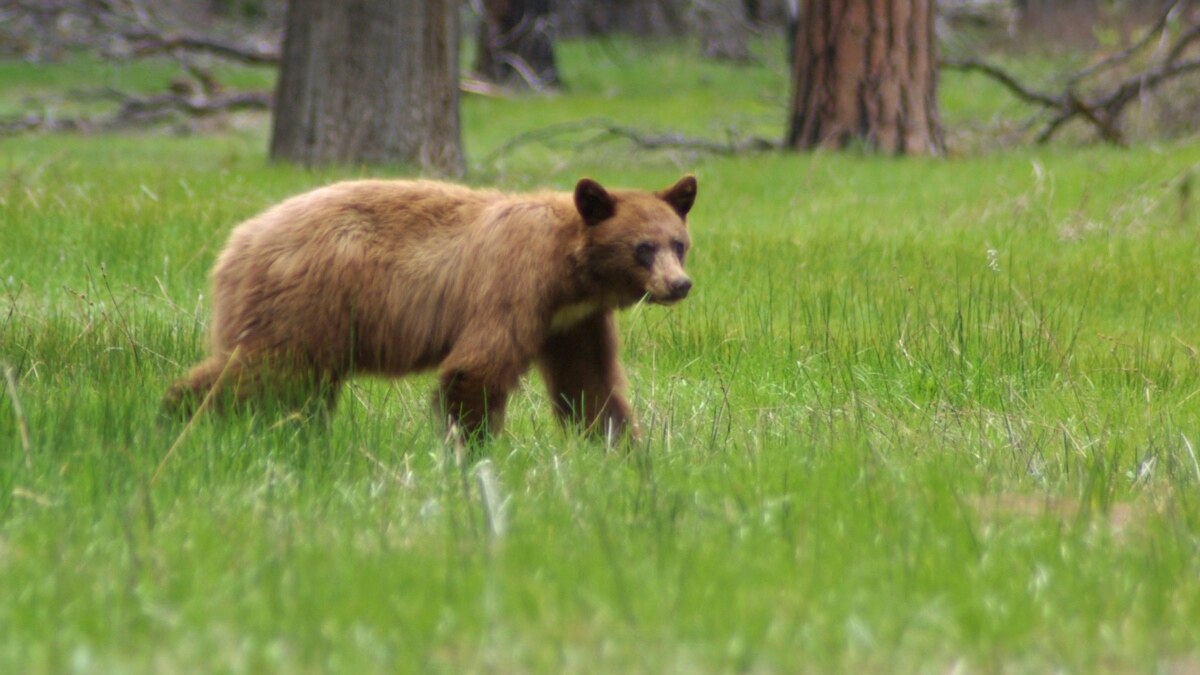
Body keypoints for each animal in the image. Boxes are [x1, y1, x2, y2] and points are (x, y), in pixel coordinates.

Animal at [163, 175, 697, 443]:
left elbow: (589, 385)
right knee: (262, 368)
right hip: (303, 302)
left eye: (679, 243)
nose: (679, 285)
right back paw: (174, 415)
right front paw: (471, 450)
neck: (570, 270)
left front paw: (622, 449)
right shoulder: (515, 285)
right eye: (643, 248)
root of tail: (236, 243)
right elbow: (477, 368)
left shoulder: (574, 321)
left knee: (297, 386)